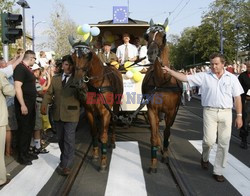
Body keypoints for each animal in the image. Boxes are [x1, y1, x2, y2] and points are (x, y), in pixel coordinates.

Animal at [68, 36, 123, 172]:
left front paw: (103, 162)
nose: (77, 83)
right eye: (72, 57)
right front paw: (95, 155)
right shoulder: (89, 111)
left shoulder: (106, 112)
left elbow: (103, 136)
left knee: (113, 123)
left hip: (115, 106)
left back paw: (112, 141)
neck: (97, 85)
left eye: (87, 56)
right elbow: (93, 132)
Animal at [143, 19, 182, 172]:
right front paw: (153, 162)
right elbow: (153, 136)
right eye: (147, 36)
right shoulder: (152, 110)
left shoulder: (171, 111)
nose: (151, 53)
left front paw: (165, 155)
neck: (162, 81)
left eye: (164, 36)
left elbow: (167, 132)